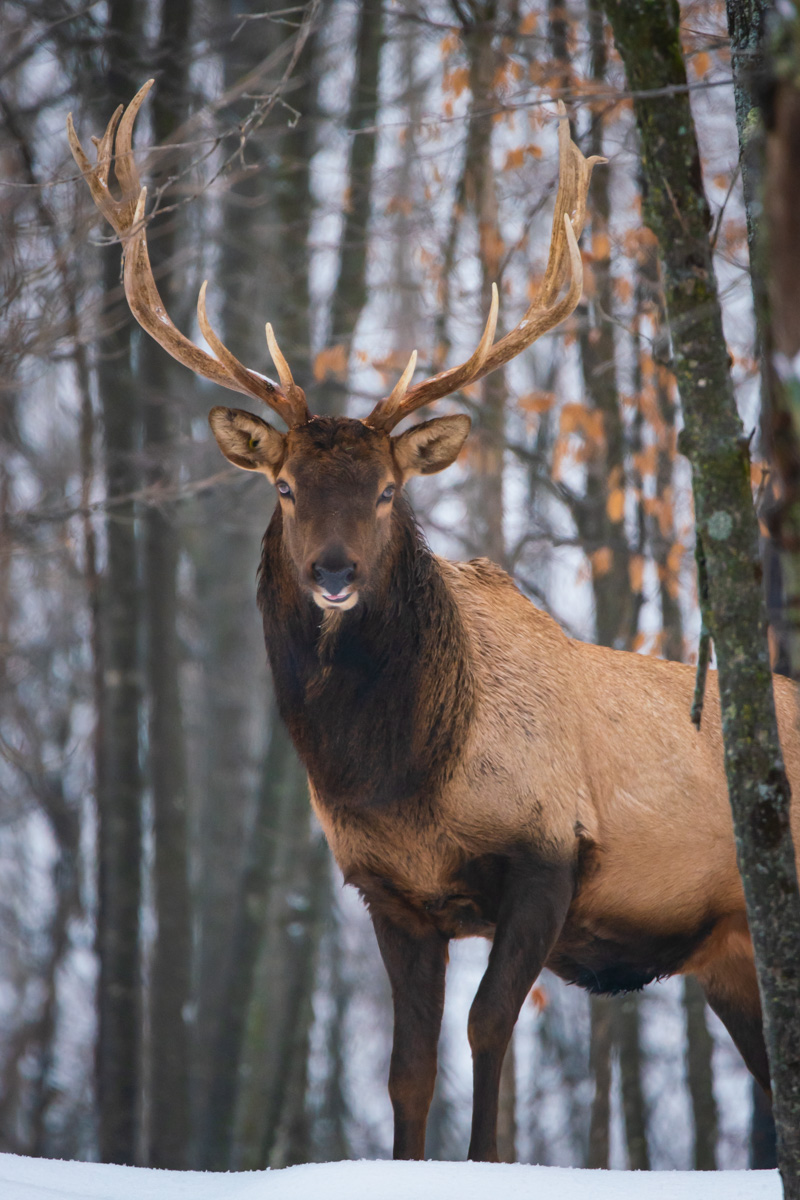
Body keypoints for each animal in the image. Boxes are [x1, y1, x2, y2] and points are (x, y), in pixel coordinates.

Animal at [68, 77, 800, 1161]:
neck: (406, 780)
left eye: (385, 490)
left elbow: (487, 1030)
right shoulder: (389, 893)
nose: (332, 574)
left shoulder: (548, 855)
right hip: (731, 956)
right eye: (285, 486)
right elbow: (407, 1068)